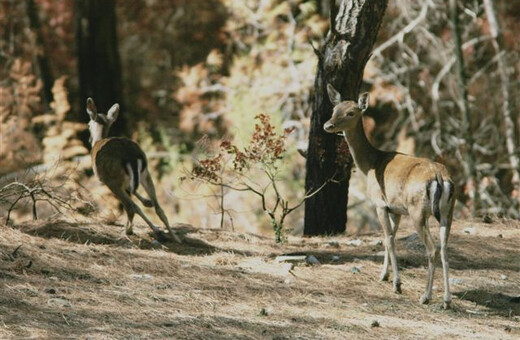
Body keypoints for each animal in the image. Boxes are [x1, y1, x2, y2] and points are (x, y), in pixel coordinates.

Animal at [86, 97, 180, 243]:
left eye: (88, 124)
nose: (89, 139)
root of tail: (130, 156)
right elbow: (135, 193)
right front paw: (147, 202)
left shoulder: (107, 180)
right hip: (145, 173)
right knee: (159, 208)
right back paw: (175, 237)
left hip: (112, 179)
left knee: (131, 207)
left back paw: (130, 231)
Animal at [322, 84, 452, 308]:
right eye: (334, 109)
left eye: (351, 112)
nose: (327, 125)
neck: (371, 163)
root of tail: (439, 177)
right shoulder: (396, 209)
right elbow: (388, 237)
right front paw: (384, 275)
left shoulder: (379, 204)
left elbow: (389, 239)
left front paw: (396, 284)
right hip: (447, 212)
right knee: (444, 248)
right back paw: (446, 300)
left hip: (418, 211)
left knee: (432, 249)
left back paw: (425, 296)